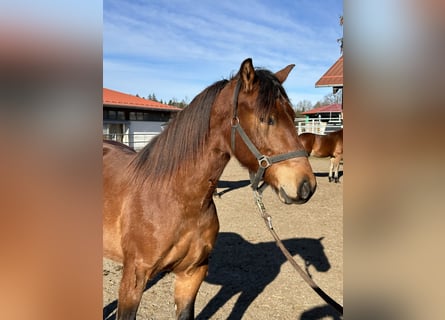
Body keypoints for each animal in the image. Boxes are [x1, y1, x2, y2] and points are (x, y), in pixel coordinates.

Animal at [101, 58, 316, 320]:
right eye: (266, 118)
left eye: (292, 116)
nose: (306, 185)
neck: (175, 198)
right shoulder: (133, 280)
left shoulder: (192, 274)